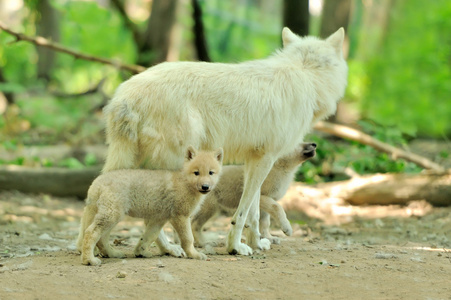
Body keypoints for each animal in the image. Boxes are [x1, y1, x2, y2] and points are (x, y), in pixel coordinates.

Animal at [79, 146, 226, 264]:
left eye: (211, 172)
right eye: (196, 173)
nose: (205, 186)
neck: (185, 182)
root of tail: (97, 182)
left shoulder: (159, 218)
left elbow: (149, 236)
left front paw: (140, 252)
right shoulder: (180, 217)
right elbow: (188, 239)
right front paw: (194, 254)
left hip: (110, 216)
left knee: (101, 238)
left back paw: (112, 254)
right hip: (112, 216)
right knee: (91, 233)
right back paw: (89, 260)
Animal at [103, 27, 350, 255]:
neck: (305, 73)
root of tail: (124, 97)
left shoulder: (254, 159)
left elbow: (254, 212)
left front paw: (256, 243)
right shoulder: (267, 158)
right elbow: (243, 211)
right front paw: (236, 247)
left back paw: (120, 249)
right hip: (173, 165)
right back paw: (163, 249)